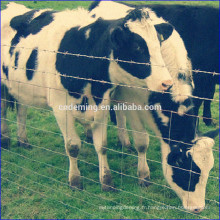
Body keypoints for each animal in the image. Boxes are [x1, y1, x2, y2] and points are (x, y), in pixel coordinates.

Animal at [1, 3, 175, 192]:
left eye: (158, 44)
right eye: (137, 47)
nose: (167, 83)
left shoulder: (102, 105)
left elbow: (102, 146)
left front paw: (106, 181)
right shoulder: (61, 108)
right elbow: (72, 146)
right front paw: (75, 181)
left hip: (20, 86)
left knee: (21, 109)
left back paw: (23, 140)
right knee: (3, 111)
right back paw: (5, 140)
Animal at [88, 0, 218, 213]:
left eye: (209, 171)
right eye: (186, 169)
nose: (198, 208)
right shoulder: (133, 102)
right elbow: (142, 141)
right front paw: (144, 176)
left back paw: (124, 141)